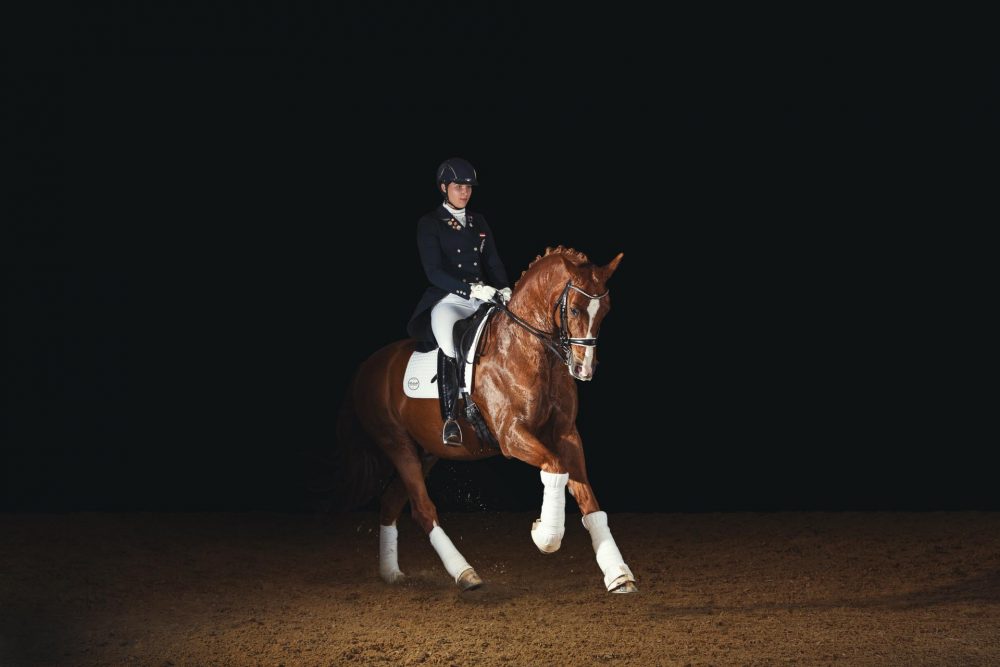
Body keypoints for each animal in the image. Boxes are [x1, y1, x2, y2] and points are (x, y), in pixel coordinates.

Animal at [332, 246, 636, 593]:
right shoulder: (511, 436)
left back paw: (391, 574)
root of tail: (368, 365)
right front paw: (544, 535)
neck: (529, 349)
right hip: (397, 444)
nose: (583, 369)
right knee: (422, 509)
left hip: (424, 452)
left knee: (391, 502)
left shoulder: (566, 435)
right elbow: (555, 468)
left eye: (606, 311)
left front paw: (618, 574)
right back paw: (465, 573)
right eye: (573, 309)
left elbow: (589, 499)